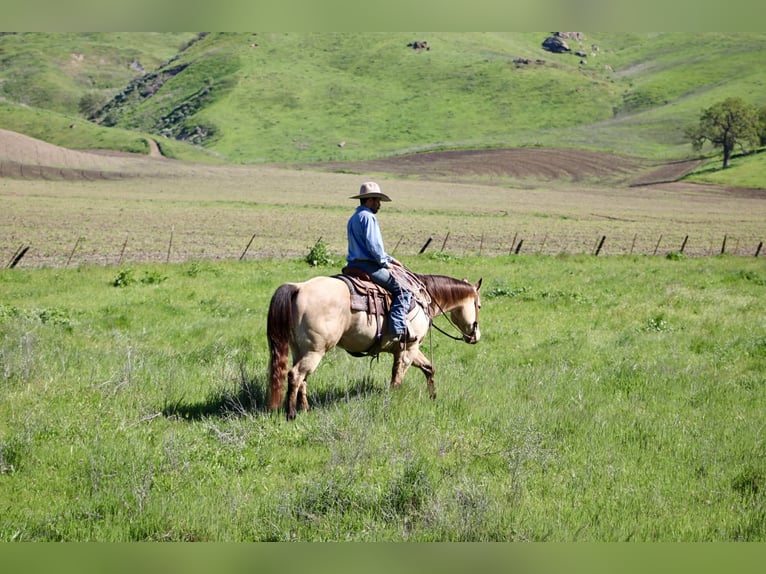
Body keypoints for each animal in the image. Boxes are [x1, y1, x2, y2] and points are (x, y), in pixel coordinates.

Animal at [267, 272, 482, 420]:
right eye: (479, 306)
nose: (476, 336)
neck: (422, 300)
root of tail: (299, 287)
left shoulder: (407, 349)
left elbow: (429, 368)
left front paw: (433, 396)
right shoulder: (408, 349)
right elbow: (397, 380)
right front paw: (393, 403)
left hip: (300, 350)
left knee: (302, 379)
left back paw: (305, 409)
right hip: (315, 351)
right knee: (295, 375)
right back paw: (291, 414)